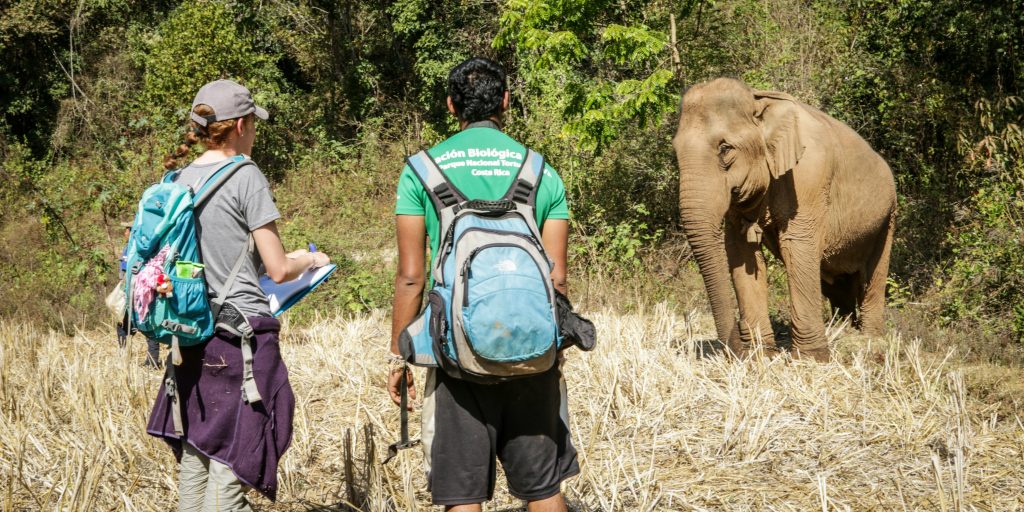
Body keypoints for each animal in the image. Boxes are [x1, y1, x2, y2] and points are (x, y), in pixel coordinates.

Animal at [671, 77, 897, 362]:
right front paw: (760, 355)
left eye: (724, 148)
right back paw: (843, 328)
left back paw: (870, 340)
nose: (735, 350)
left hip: (888, 216)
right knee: (837, 280)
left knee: (874, 272)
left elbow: (797, 246)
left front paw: (812, 359)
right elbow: (740, 251)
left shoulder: (809, 176)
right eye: (675, 151)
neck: (759, 101)